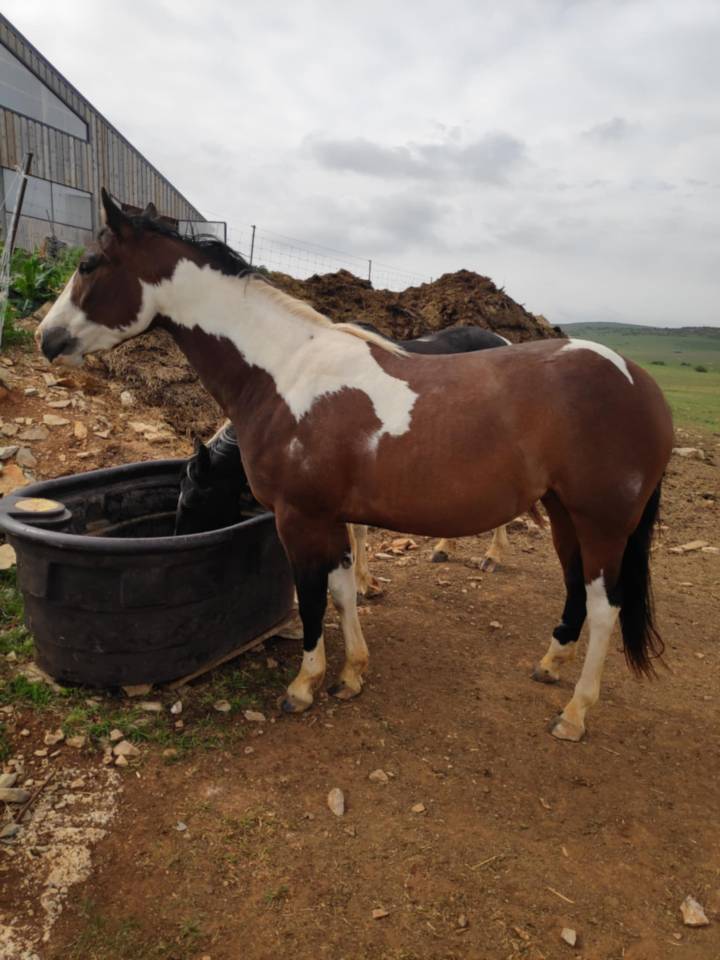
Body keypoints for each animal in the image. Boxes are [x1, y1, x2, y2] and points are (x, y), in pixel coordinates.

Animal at [175, 324, 523, 593]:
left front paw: (365, 584)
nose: (182, 543)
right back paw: (444, 549)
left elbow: (358, 531)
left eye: (193, 502)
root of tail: (504, 341)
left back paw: (492, 556)